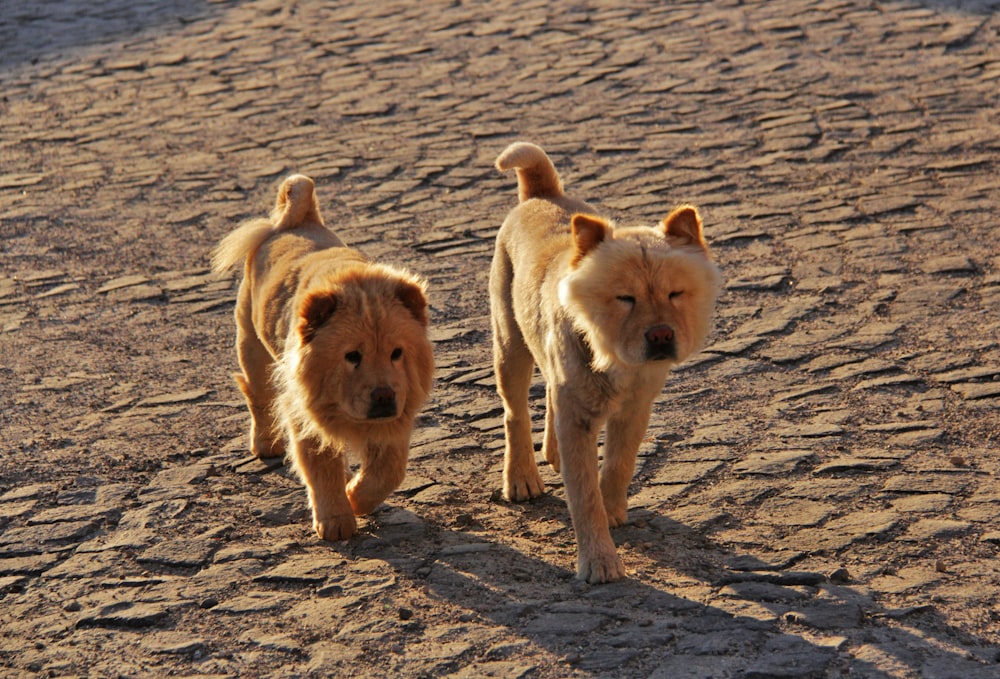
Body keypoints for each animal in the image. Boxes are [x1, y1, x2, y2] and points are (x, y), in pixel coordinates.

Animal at [213, 175, 432, 540]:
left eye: (397, 354)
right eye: (352, 356)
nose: (384, 396)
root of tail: (295, 222)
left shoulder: (397, 415)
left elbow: (388, 471)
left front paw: (356, 497)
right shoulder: (304, 414)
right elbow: (322, 470)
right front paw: (336, 522)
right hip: (252, 345)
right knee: (258, 396)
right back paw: (266, 443)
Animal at [490, 143, 720, 584]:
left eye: (676, 294)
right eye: (625, 298)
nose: (661, 335)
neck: (615, 358)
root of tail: (541, 193)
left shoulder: (637, 408)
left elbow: (619, 465)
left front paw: (613, 510)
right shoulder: (577, 418)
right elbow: (583, 497)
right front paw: (600, 562)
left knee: (548, 391)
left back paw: (552, 452)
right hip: (510, 344)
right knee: (515, 412)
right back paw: (522, 477)